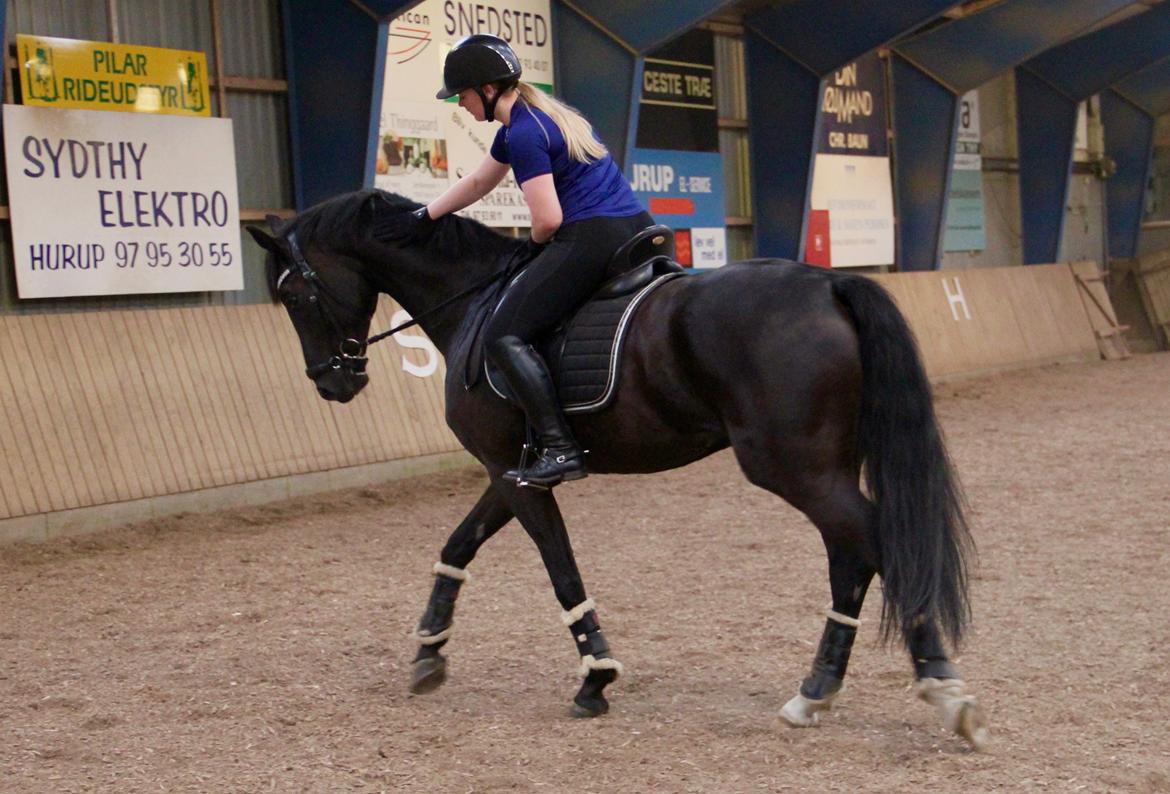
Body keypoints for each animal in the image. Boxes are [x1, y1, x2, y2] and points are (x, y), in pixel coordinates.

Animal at [249, 192, 987, 753]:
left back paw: (944, 690)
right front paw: (430, 650)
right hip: (823, 467)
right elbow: (458, 545)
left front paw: (595, 676)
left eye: (293, 296)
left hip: (795, 467)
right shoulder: (510, 472)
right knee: (852, 557)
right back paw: (816, 693)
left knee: (878, 546)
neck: (474, 301)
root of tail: (829, 282)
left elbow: (560, 568)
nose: (332, 383)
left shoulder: (515, 473)